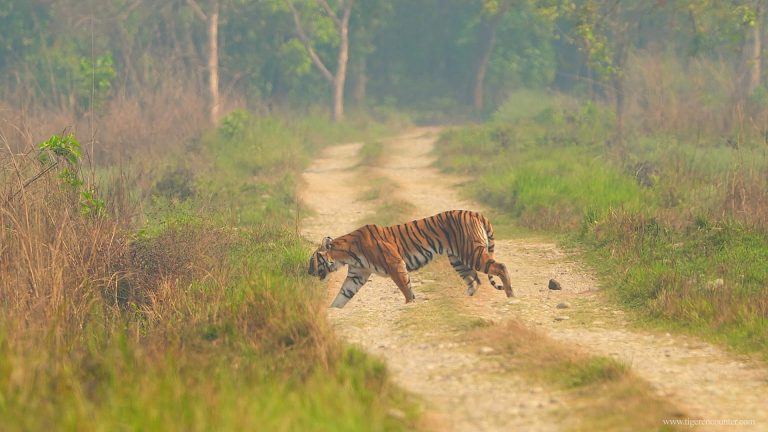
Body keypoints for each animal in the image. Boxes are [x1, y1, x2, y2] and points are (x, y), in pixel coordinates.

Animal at [308, 209, 513, 308]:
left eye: (312, 261)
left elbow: (405, 287)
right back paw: (467, 298)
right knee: (475, 280)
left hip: (472, 253)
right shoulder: (356, 275)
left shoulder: (395, 264)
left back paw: (511, 295)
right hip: (458, 260)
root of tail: (474, 212)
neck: (346, 256)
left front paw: (410, 304)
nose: (308, 272)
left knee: (500, 267)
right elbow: (343, 294)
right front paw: (331, 310)